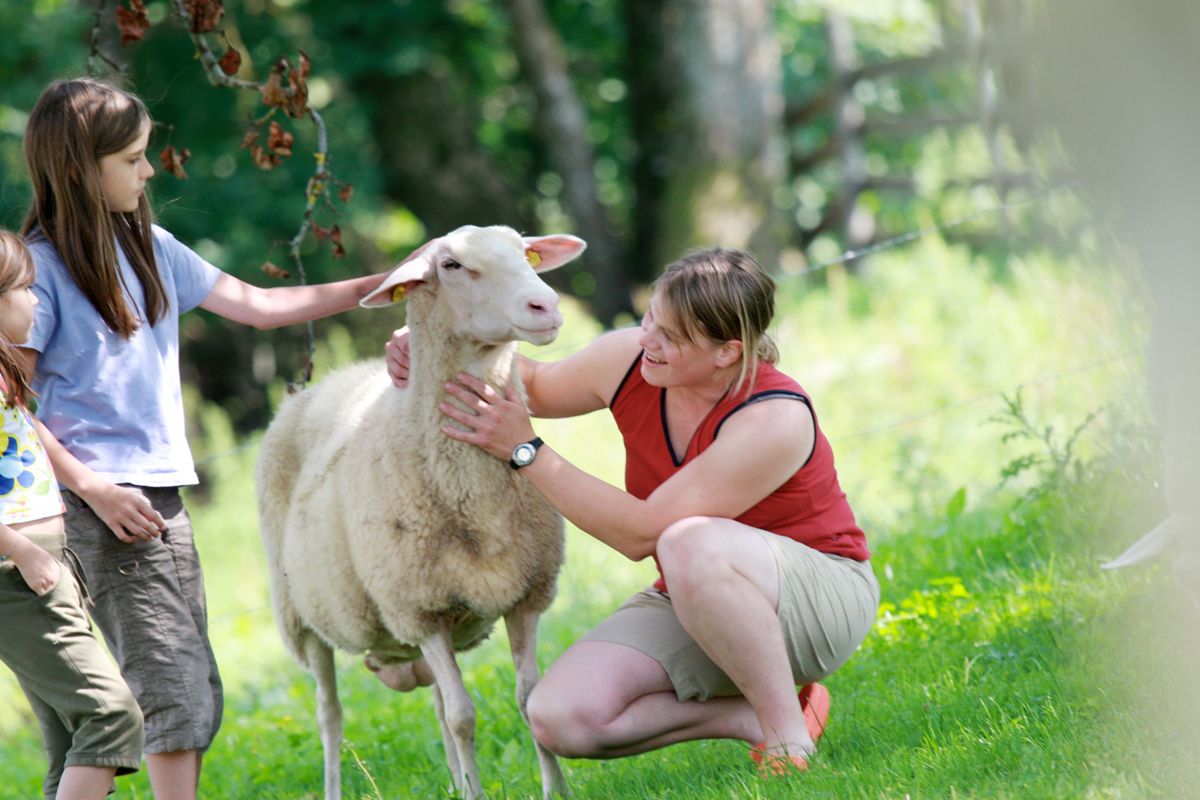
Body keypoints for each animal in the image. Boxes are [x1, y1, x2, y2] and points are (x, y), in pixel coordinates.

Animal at [254, 225, 585, 800]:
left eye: (526, 253)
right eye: (451, 265)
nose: (544, 305)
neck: (477, 499)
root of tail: (325, 382)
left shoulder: (526, 595)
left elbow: (529, 700)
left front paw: (554, 791)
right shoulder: (419, 609)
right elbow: (462, 717)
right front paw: (477, 792)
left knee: (430, 699)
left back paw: (453, 781)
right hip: (302, 618)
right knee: (330, 715)